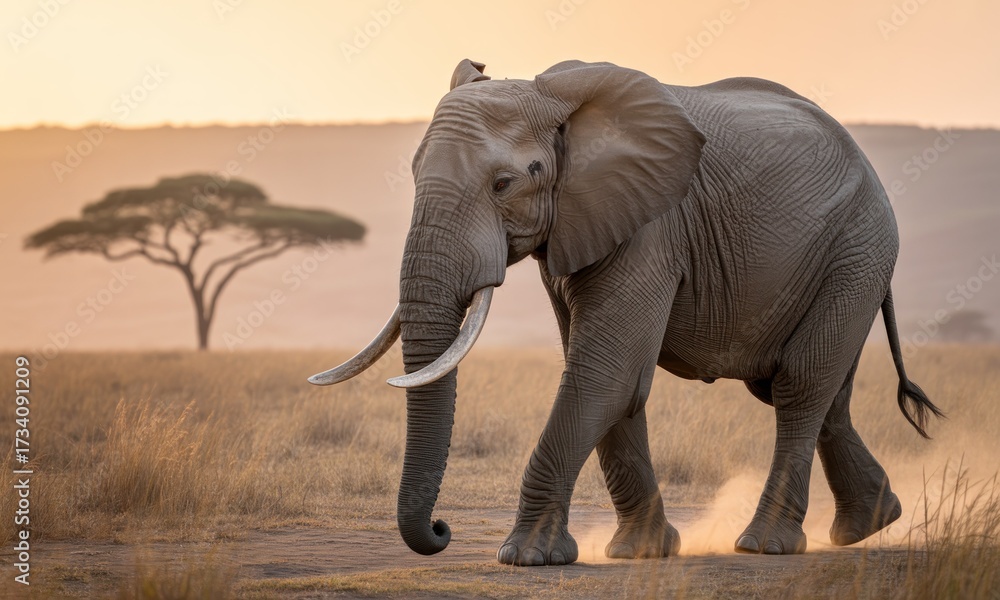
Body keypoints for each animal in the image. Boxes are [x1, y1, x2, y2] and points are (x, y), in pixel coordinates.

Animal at [310, 59, 943, 565]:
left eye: (504, 184)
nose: (442, 529)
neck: (556, 99)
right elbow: (618, 383)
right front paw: (641, 553)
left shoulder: (651, 226)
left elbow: (602, 375)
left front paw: (525, 557)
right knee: (823, 391)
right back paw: (872, 524)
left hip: (858, 247)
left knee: (800, 386)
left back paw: (765, 545)